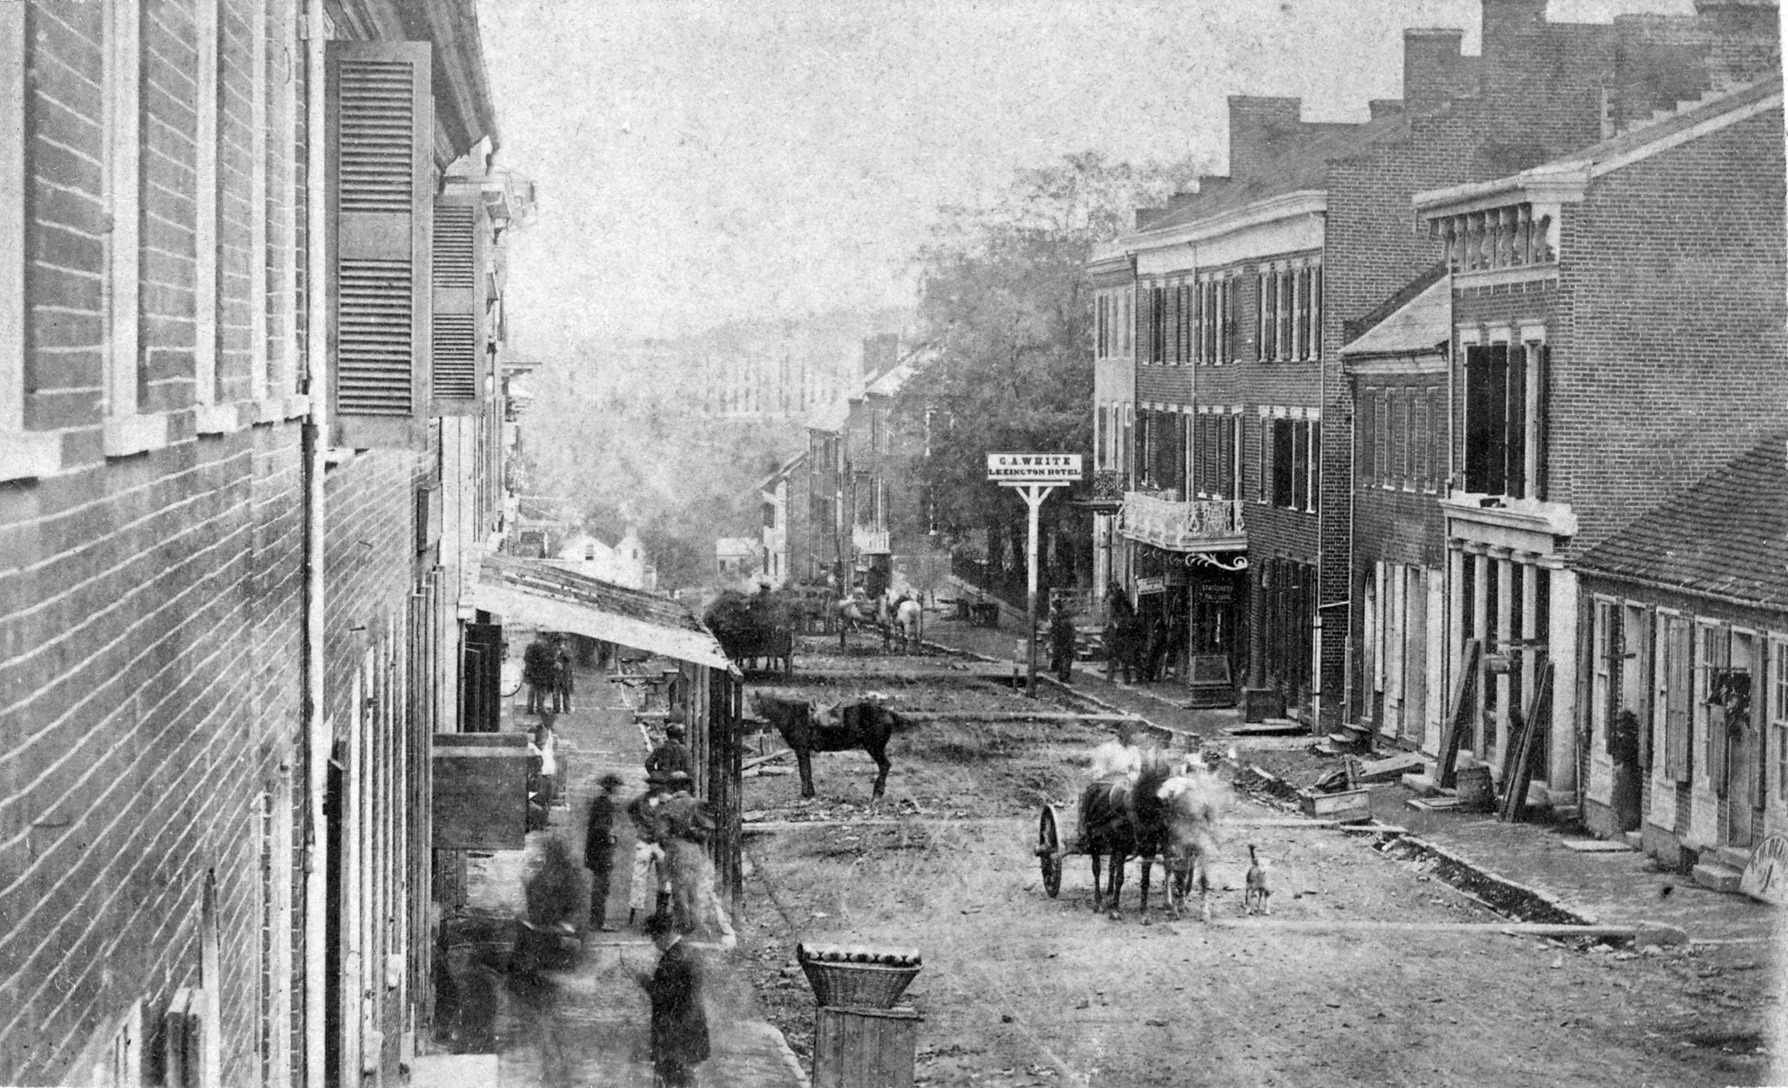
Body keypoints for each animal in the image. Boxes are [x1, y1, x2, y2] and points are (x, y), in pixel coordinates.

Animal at [743, 696, 908, 796]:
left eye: (754, 705)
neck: (794, 716)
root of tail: (888, 713)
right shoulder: (804, 751)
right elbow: (807, 771)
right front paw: (809, 793)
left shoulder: (801, 749)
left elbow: (804, 772)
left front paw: (806, 794)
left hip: (874, 748)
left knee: (885, 765)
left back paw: (877, 794)